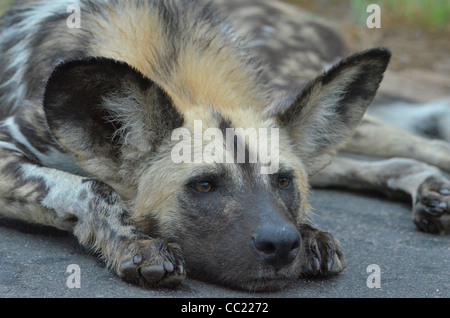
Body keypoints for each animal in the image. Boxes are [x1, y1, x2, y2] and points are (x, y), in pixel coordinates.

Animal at [0, 0, 448, 290]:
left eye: (283, 181)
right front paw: (136, 244)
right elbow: (91, 187)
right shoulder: (8, 150)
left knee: (420, 148)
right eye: (203, 185)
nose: (281, 244)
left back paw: (434, 191)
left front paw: (309, 231)